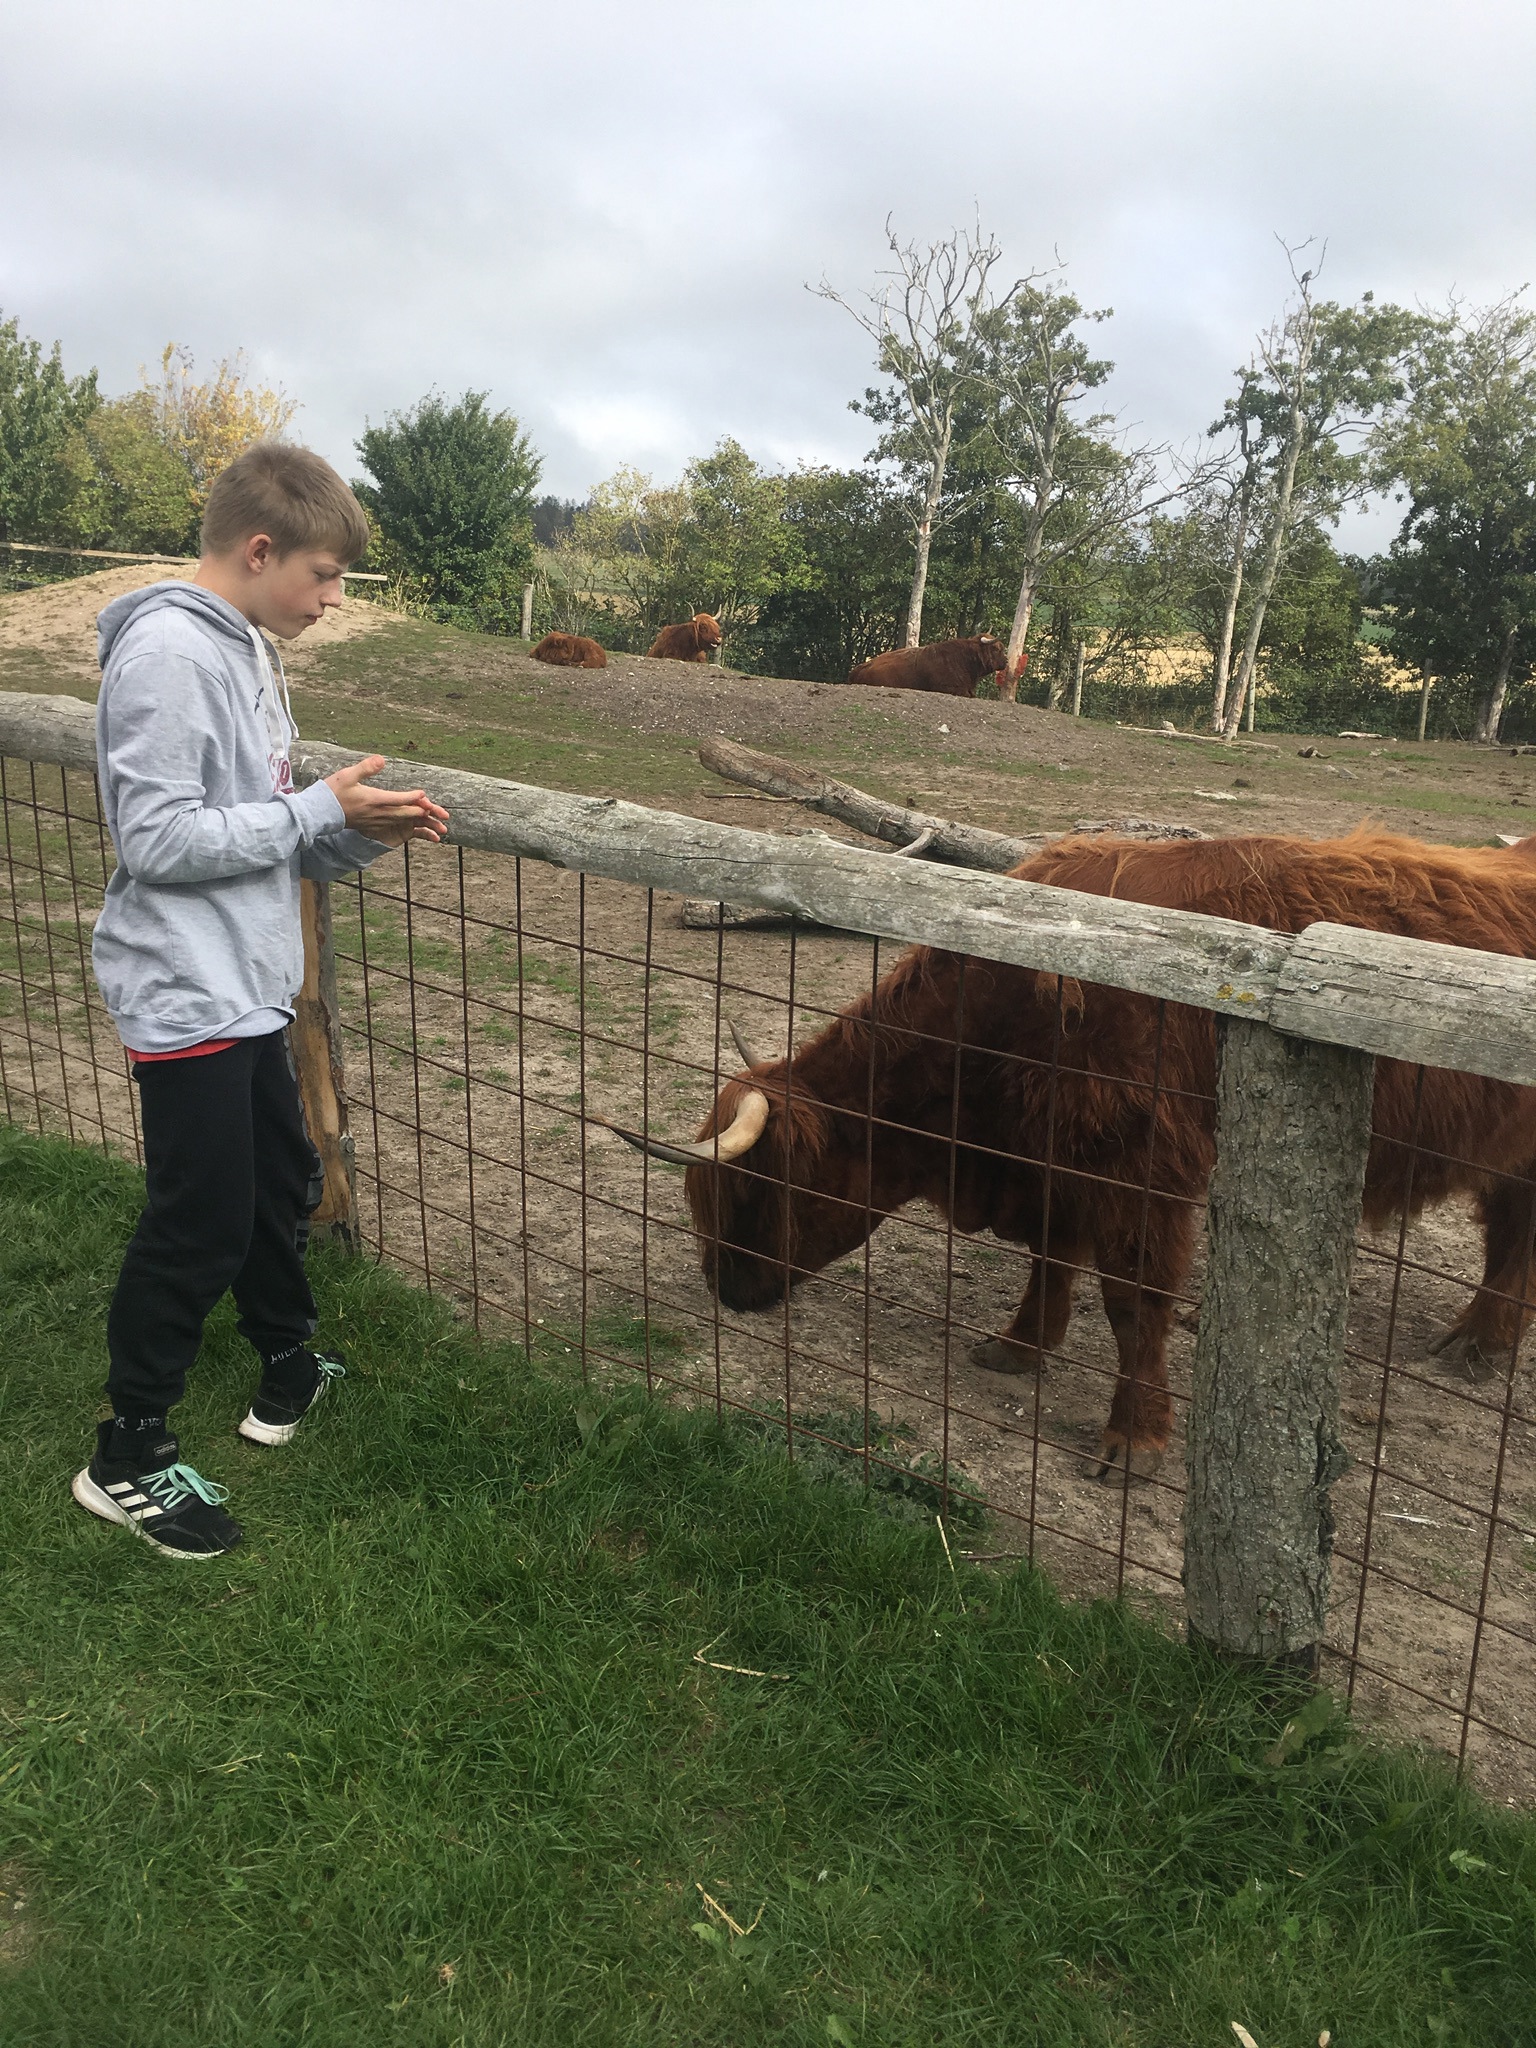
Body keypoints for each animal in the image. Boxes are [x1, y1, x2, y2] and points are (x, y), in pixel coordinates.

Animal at [603, 830, 1536, 1476]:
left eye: (751, 1194)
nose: (724, 1289)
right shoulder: (1058, 1165)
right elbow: (1053, 1260)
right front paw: (1019, 1346)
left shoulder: (1140, 1176)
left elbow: (1133, 1302)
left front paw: (1133, 1437)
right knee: (1509, 1231)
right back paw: (1480, 1339)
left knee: (1512, 1238)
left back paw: (1481, 1343)